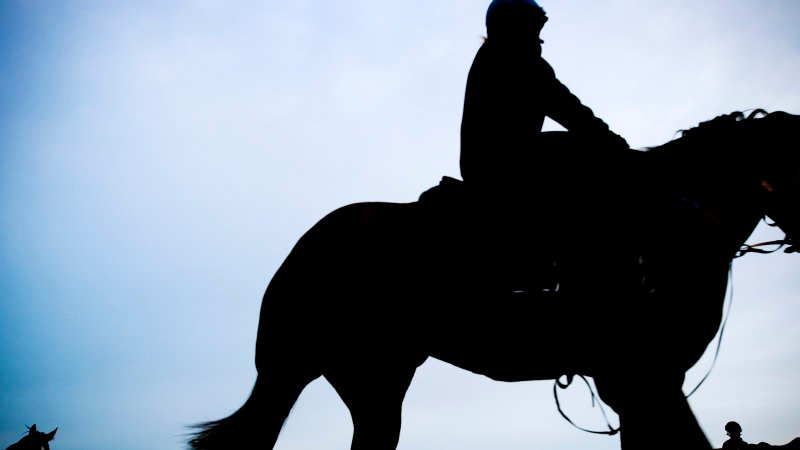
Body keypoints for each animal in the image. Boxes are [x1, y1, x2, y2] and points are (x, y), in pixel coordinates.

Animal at [188, 109, 799, 450]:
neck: (666, 222)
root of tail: (303, 249)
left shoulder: (643, 386)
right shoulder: (642, 378)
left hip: (372, 378)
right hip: (300, 369)